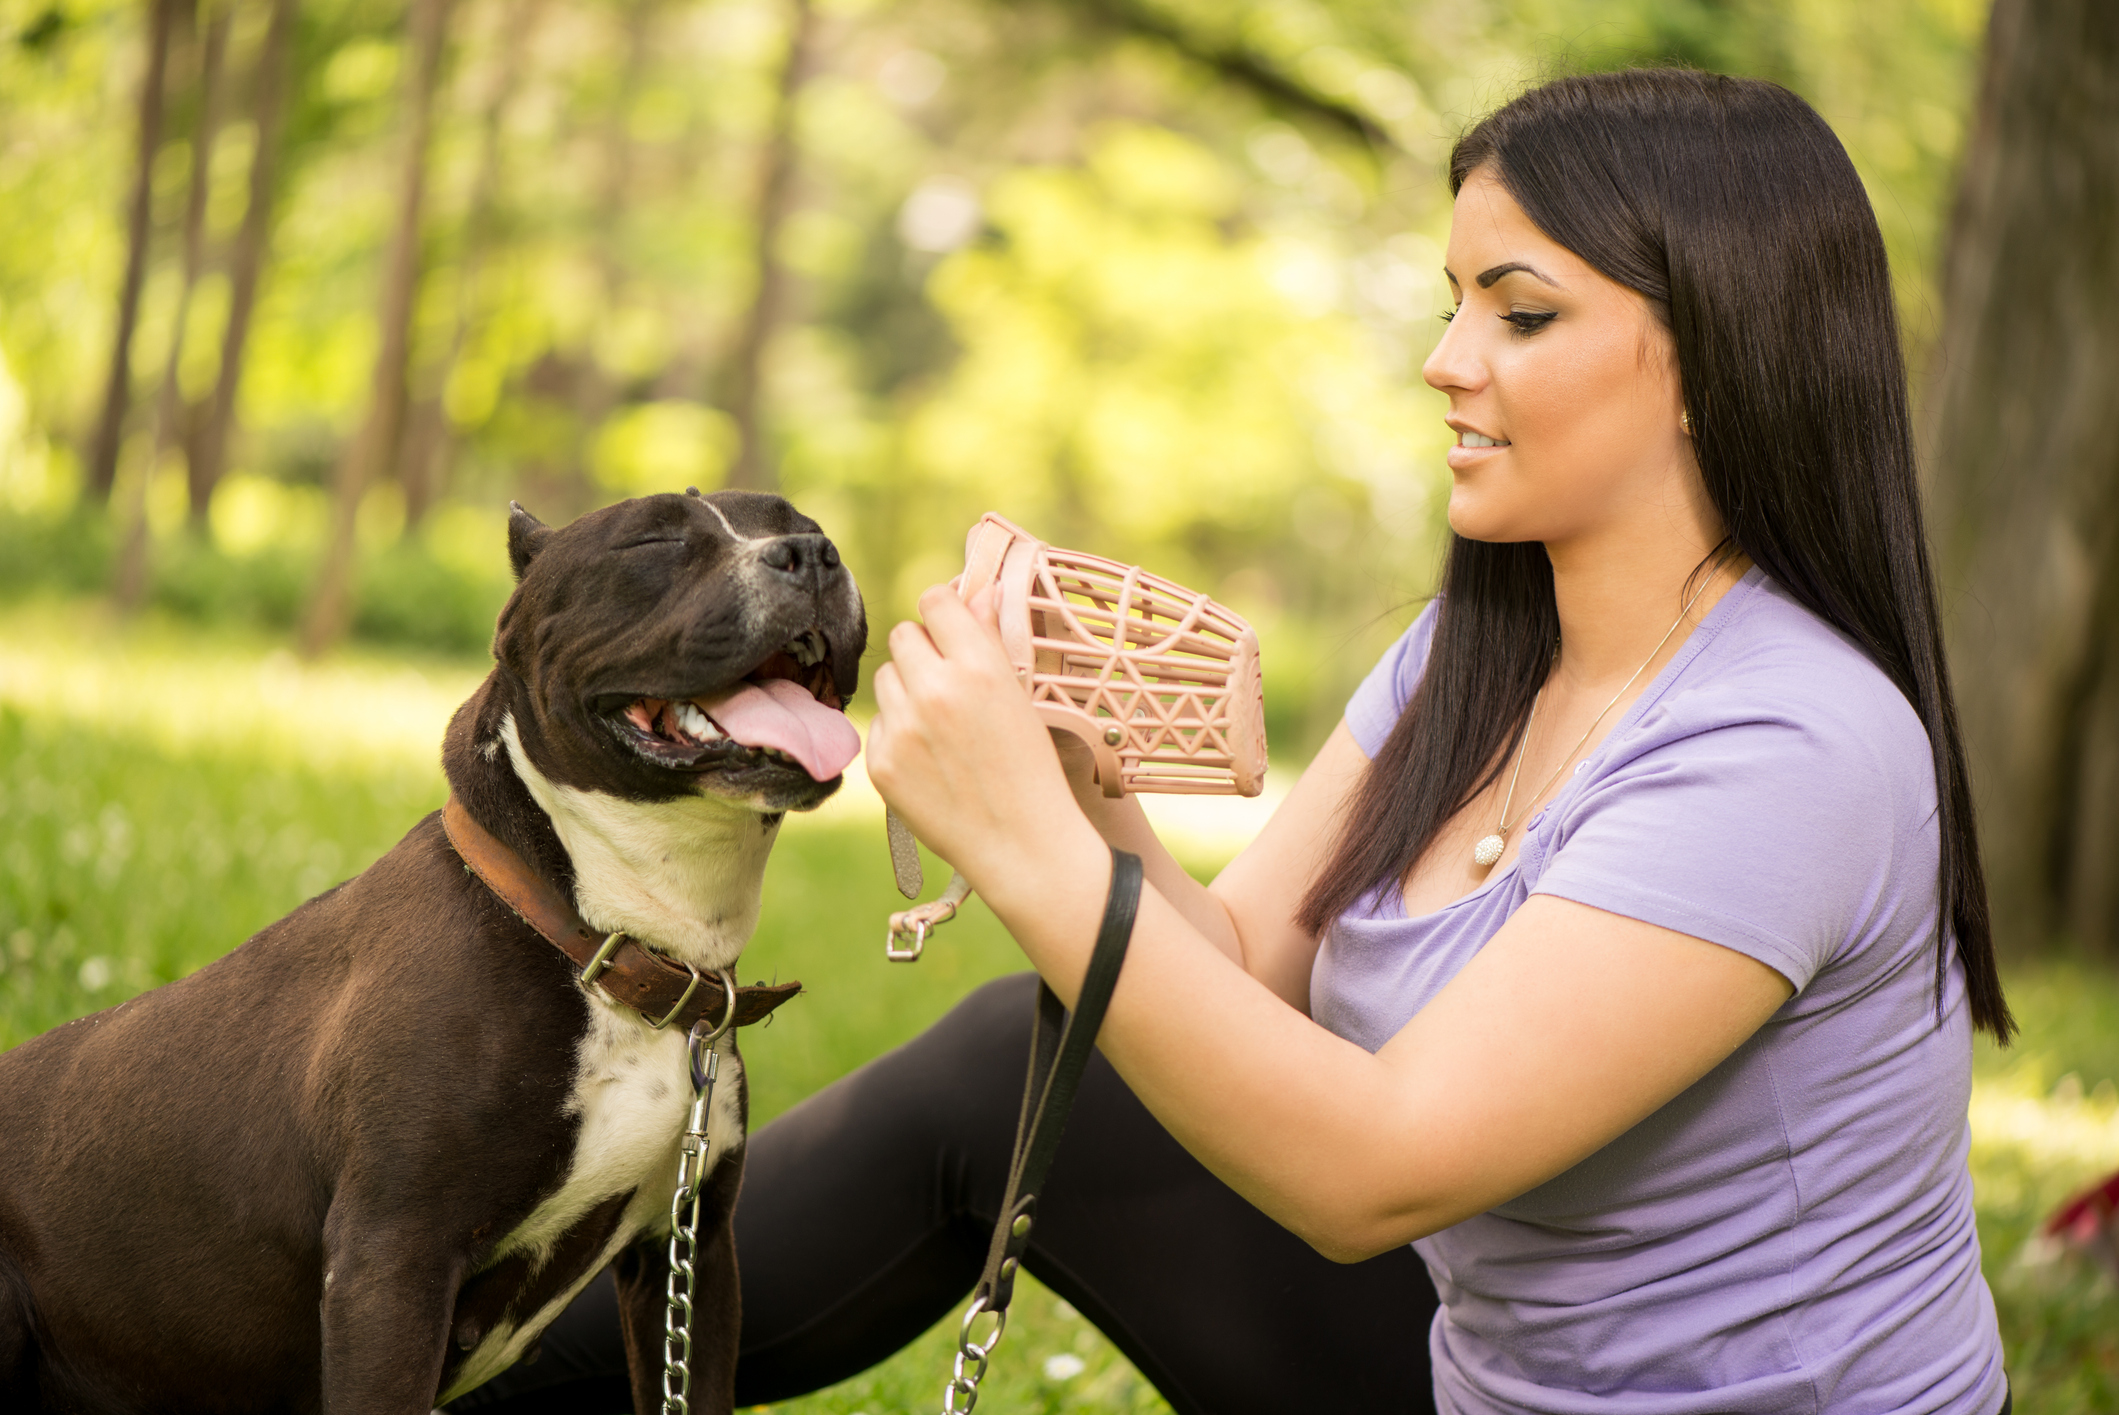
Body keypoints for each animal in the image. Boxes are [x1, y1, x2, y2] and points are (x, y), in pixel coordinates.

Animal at [0, 491, 868, 1406]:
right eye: (654, 537)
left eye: (801, 518)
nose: (811, 553)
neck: (596, 934)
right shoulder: (391, 1262)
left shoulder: (691, 1255)